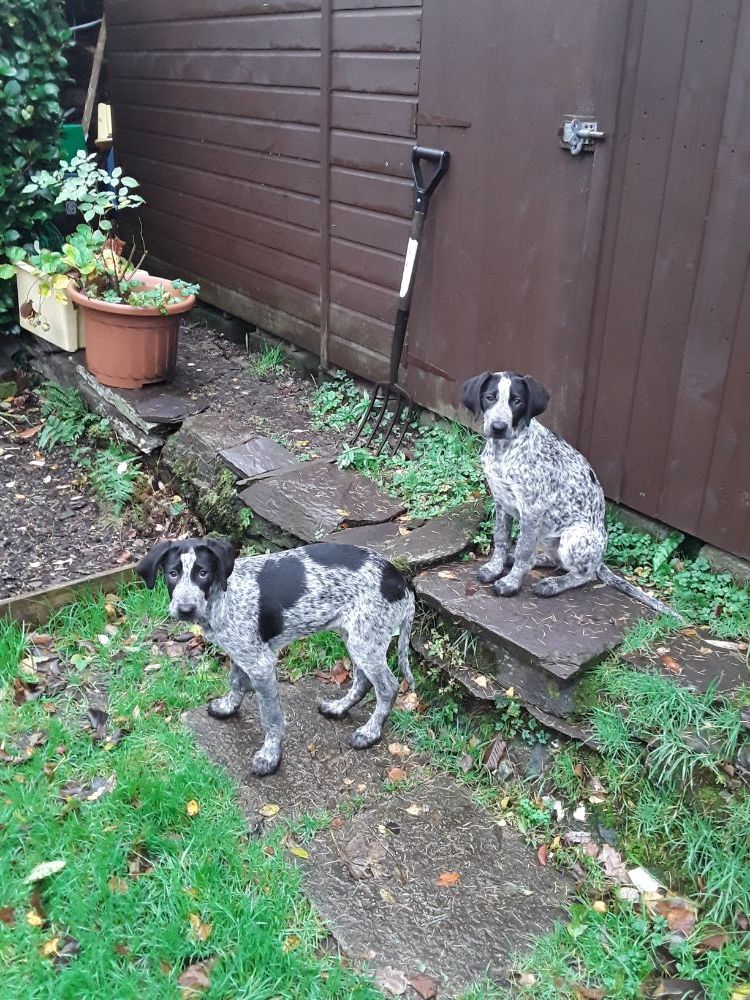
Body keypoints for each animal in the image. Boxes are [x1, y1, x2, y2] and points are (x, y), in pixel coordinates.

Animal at [135, 536, 418, 776]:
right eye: (172, 573)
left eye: (203, 573)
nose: (185, 609)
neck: (223, 597)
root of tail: (401, 582)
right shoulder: (240, 652)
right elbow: (235, 682)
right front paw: (228, 707)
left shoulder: (261, 664)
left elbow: (270, 717)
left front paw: (269, 757)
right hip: (355, 636)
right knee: (362, 679)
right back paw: (339, 708)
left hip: (365, 640)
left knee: (388, 687)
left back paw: (370, 733)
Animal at [462, 370, 684, 616]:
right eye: (490, 397)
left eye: (517, 401)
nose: (498, 427)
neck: (504, 452)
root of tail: (600, 560)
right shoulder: (501, 502)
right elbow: (501, 539)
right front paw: (494, 568)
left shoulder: (532, 510)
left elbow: (524, 551)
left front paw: (511, 583)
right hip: (549, 536)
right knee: (556, 561)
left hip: (573, 537)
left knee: (585, 574)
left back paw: (553, 584)